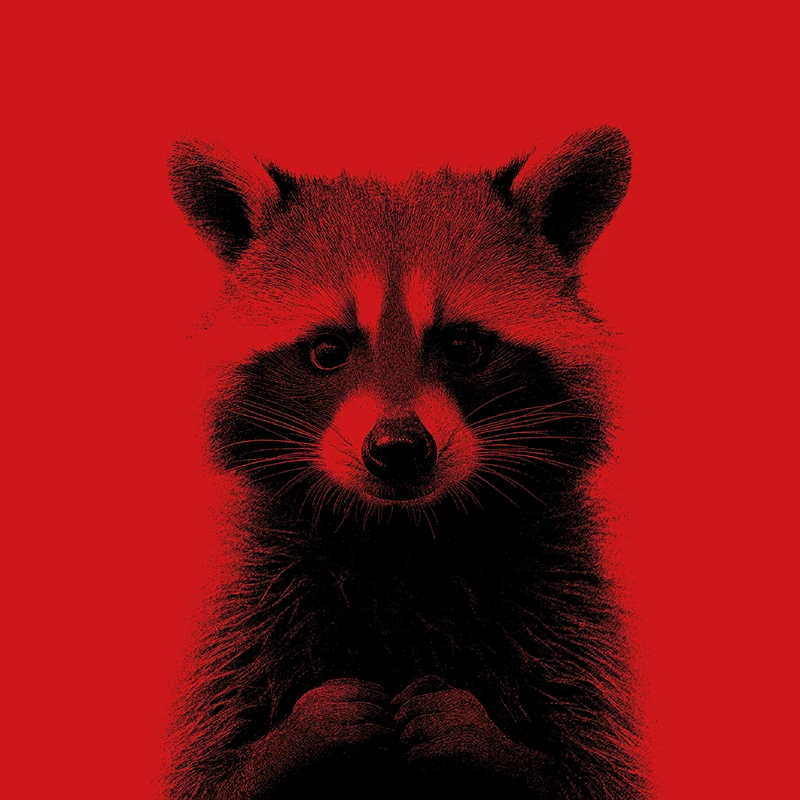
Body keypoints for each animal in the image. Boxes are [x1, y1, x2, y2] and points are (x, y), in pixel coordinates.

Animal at [166, 127, 641, 799]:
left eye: (463, 345)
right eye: (328, 350)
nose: (397, 449)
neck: (402, 536)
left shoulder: (570, 612)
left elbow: (594, 772)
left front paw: (485, 740)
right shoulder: (246, 607)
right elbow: (207, 772)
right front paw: (299, 733)